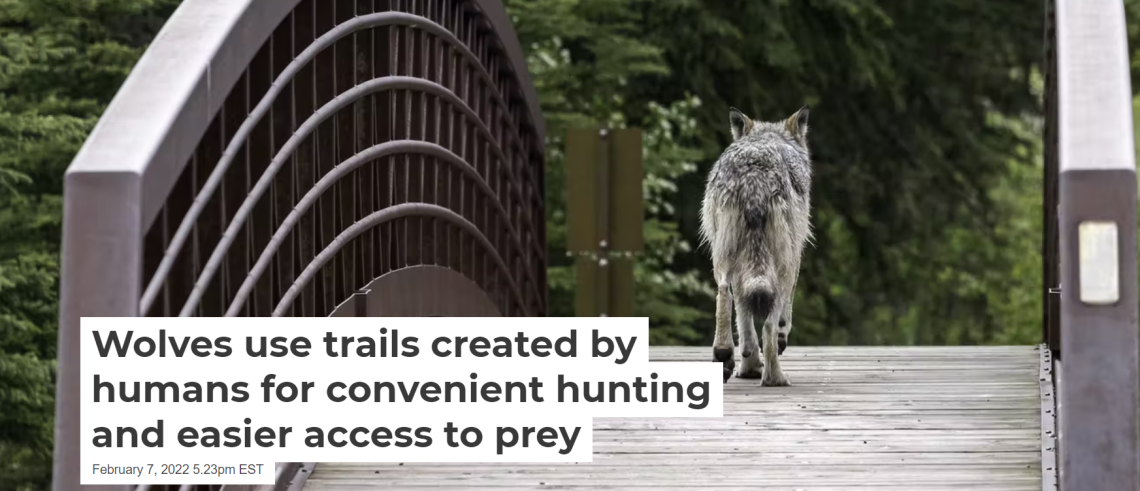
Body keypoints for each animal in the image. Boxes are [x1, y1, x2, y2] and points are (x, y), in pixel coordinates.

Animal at [699, 105, 813, 386]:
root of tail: (754, 173)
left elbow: (743, 315)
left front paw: (748, 366)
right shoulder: (796, 257)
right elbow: (782, 318)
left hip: (723, 256)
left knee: (724, 294)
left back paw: (724, 356)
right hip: (781, 265)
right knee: (770, 324)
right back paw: (776, 378)